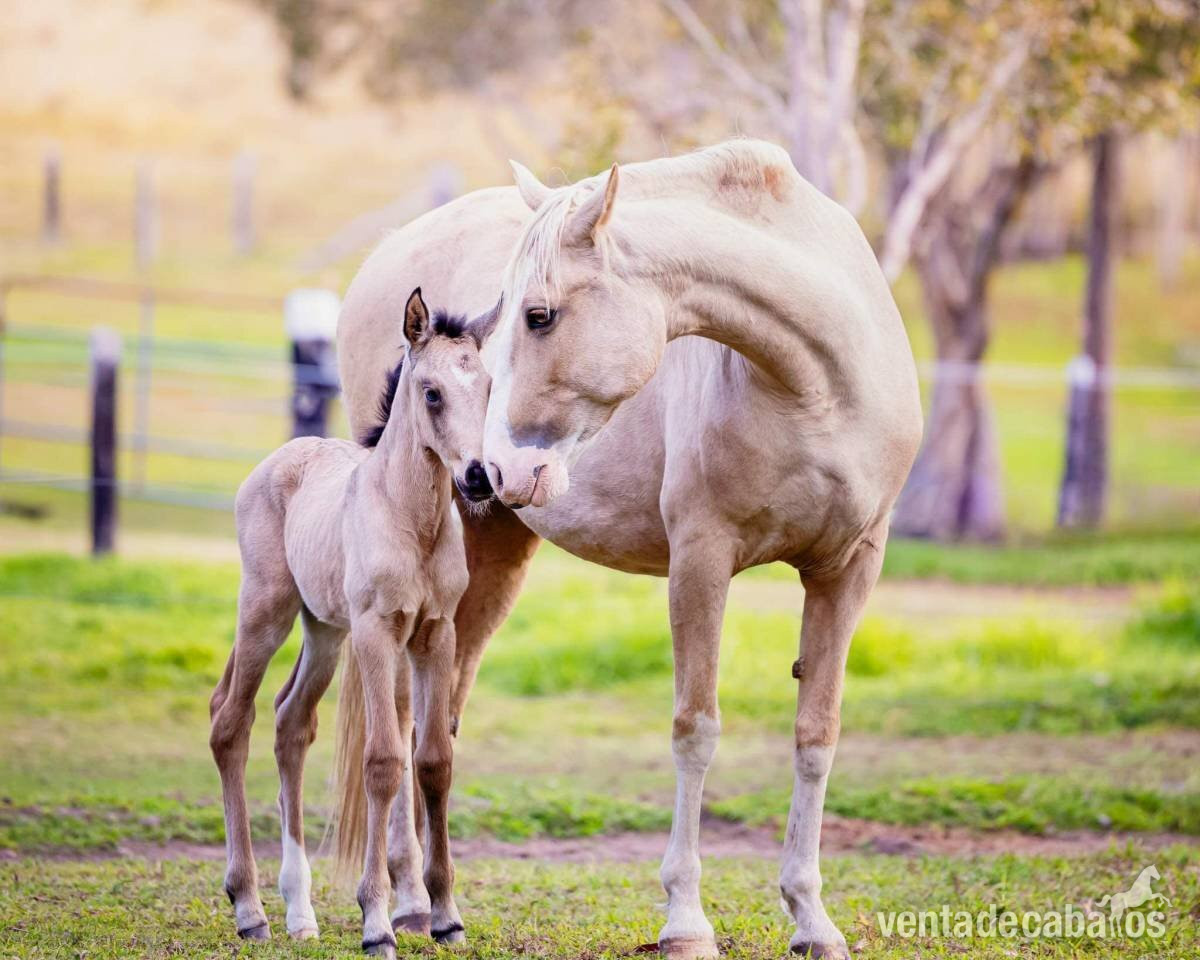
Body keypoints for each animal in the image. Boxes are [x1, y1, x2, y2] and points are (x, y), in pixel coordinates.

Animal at [208, 289, 494, 958]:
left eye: (490, 386)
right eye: (431, 392)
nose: (478, 477)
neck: (413, 522)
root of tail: (280, 457)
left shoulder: (435, 634)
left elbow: (433, 761)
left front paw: (446, 917)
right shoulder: (376, 632)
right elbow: (384, 761)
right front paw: (377, 924)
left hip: (324, 633)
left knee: (291, 722)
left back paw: (299, 912)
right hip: (267, 611)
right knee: (232, 721)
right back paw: (250, 909)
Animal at [337, 140, 923, 959]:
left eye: (539, 316)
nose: (494, 472)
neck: (816, 386)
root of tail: (386, 254)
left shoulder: (848, 571)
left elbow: (817, 734)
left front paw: (811, 918)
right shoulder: (702, 561)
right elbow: (695, 729)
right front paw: (685, 921)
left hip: (484, 573)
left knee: (435, 723)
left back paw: (426, 904)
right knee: (396, 718)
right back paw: (407, 904)